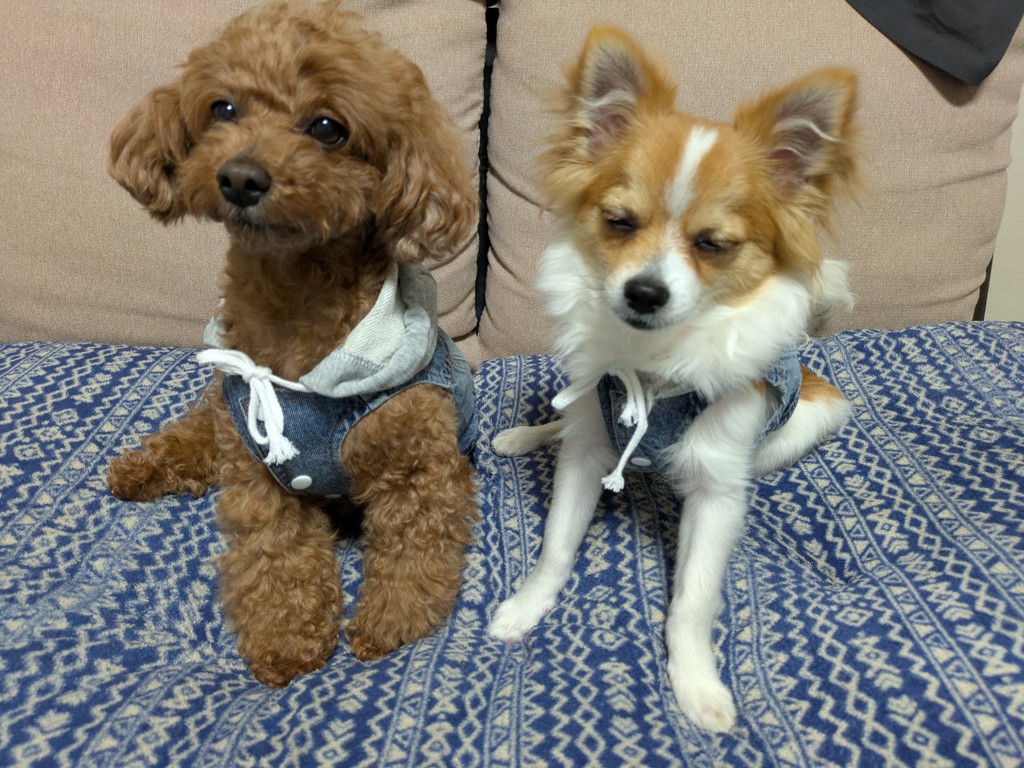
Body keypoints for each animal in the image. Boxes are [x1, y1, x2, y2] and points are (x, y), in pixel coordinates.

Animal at [106, 0, 479, 688]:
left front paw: (391, 625)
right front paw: (285, 642)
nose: (240, 177)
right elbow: (276, 556)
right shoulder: (260, 474)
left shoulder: (419, 464)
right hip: (226, 418)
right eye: (223, 109)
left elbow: (414, 549)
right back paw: (139, 470)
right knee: (197, 429)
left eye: (328, 127)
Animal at [487, 26, 858, 732]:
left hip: (800, 429)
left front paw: (696, 685)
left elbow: (692, 599)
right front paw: (525, 606)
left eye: (713, 243)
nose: (645, 291)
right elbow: (556, 546)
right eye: (619, 222)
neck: (654, 364)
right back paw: (523, 435)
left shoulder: (718, 493)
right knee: (566, 420)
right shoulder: (587, 452)